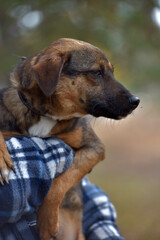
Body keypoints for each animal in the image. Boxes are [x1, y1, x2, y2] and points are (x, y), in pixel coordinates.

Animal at [0, 38, 139, 239]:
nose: (136, 101)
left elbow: (63, 179)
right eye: (97, 72)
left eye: (111, 72)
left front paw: (47, 220)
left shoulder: (94, 148)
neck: (47, 115)